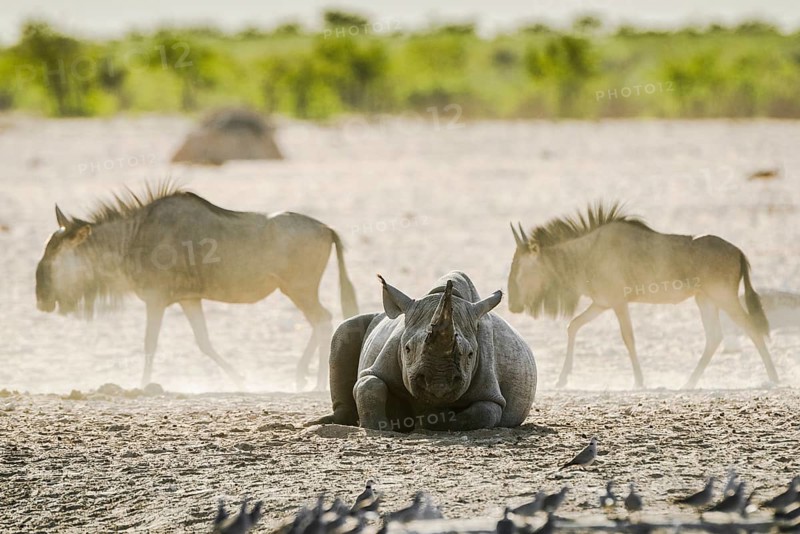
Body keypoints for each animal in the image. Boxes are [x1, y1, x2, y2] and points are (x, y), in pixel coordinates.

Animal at [308, 271, 537, 431]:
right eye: (407, 349)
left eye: (470, 354)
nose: (438, 385)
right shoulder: (378, 364)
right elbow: (369, 384)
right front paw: (379, 427)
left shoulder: (490, 391)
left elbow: (483, 413)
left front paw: (430, 420)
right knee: (344, 331)